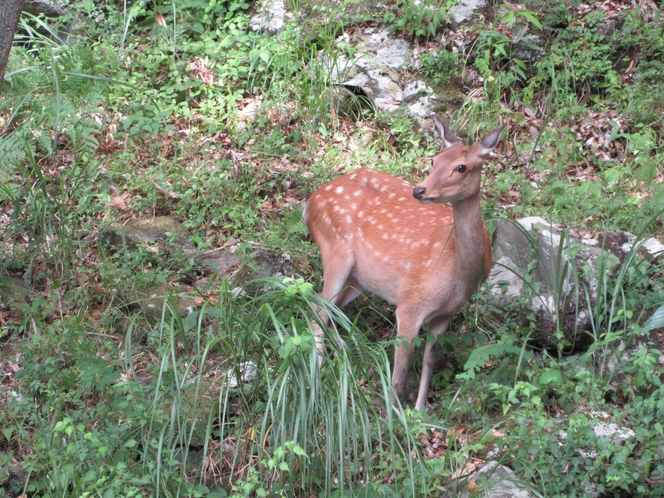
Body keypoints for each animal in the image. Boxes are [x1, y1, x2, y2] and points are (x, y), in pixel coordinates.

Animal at [304, 117, 506, 408]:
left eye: (461, 167)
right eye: (435, 159)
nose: (419, 190)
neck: (457, 273)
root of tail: (309, 203)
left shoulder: (445, 314)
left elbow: (429, 360)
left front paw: (421, 410)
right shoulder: (411, 305)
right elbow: (399, 377)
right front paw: (394, 415)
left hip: (359, 279)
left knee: (329, 313)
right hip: (335, 251)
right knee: (316, 312)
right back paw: (320, 379)